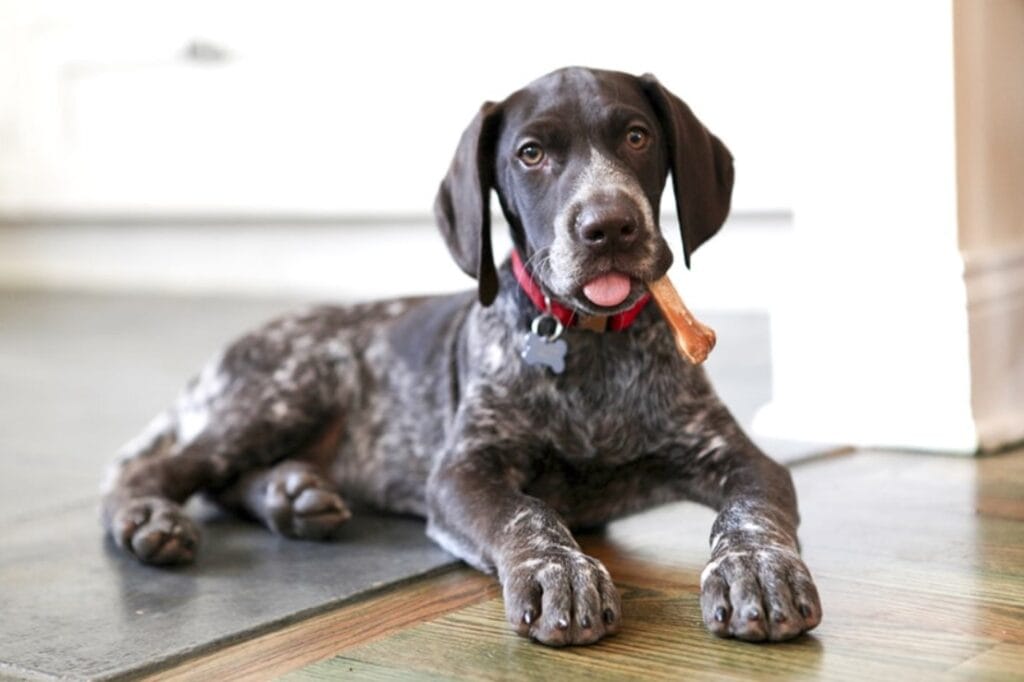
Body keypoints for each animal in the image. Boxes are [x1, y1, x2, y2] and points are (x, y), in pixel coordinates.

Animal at [101, 66, 823, 647]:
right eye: (531, 153)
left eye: (638, 137)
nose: (609, 227)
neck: (589, 344)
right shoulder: (462, 472)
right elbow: (528, 514)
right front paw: (560, 572)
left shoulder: (738, 457)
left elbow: (749, 512)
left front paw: (758, 570)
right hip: (291, 387)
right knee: (158, 469)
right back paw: (150, 519)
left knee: (223, 484)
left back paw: (291, 496)